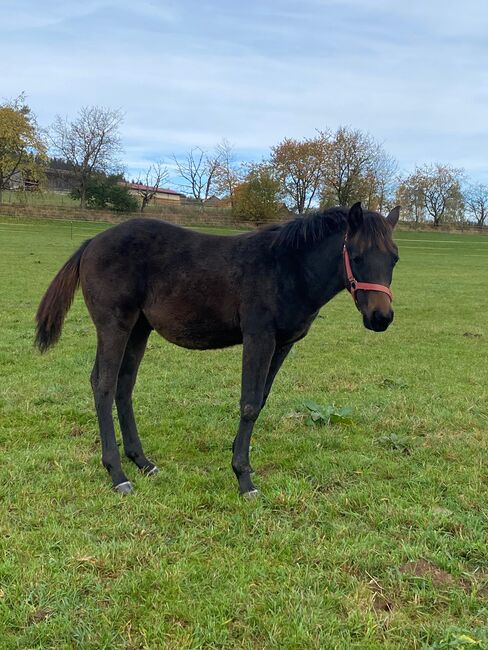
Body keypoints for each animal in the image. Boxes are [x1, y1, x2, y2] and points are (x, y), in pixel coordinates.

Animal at [35, 200, 400, 494]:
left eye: (394, 259)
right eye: (357, 256)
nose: (381, 318)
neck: (287, 267)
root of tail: (92, 243)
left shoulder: (283, 344)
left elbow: (260, 401)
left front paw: (239, 458)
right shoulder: (258, 337)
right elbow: (249, 403)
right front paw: (244, 478)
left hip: (139, 329)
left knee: (124, 386)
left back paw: (143, 462)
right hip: (115, 325)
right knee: (104, 385)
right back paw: (117, 474)